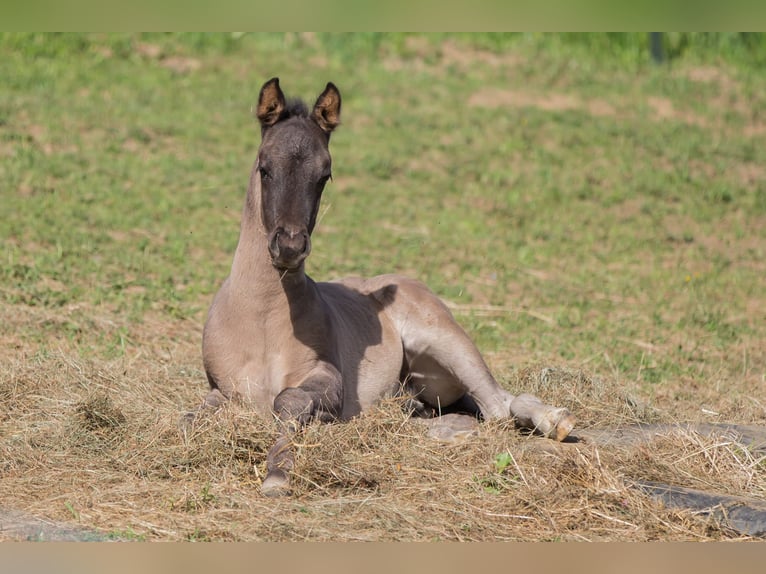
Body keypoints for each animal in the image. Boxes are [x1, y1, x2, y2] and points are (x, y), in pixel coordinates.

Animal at [190, 79, 576, 498]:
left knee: (498, 406)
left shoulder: (328, 378)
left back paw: (555, 420)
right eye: (265, 167)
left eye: (325, 174)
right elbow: (192, 417)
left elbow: (289, 401)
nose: (289, 247)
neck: (262, 319)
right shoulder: (223, 387)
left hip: (446, 340)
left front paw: (278, 472)